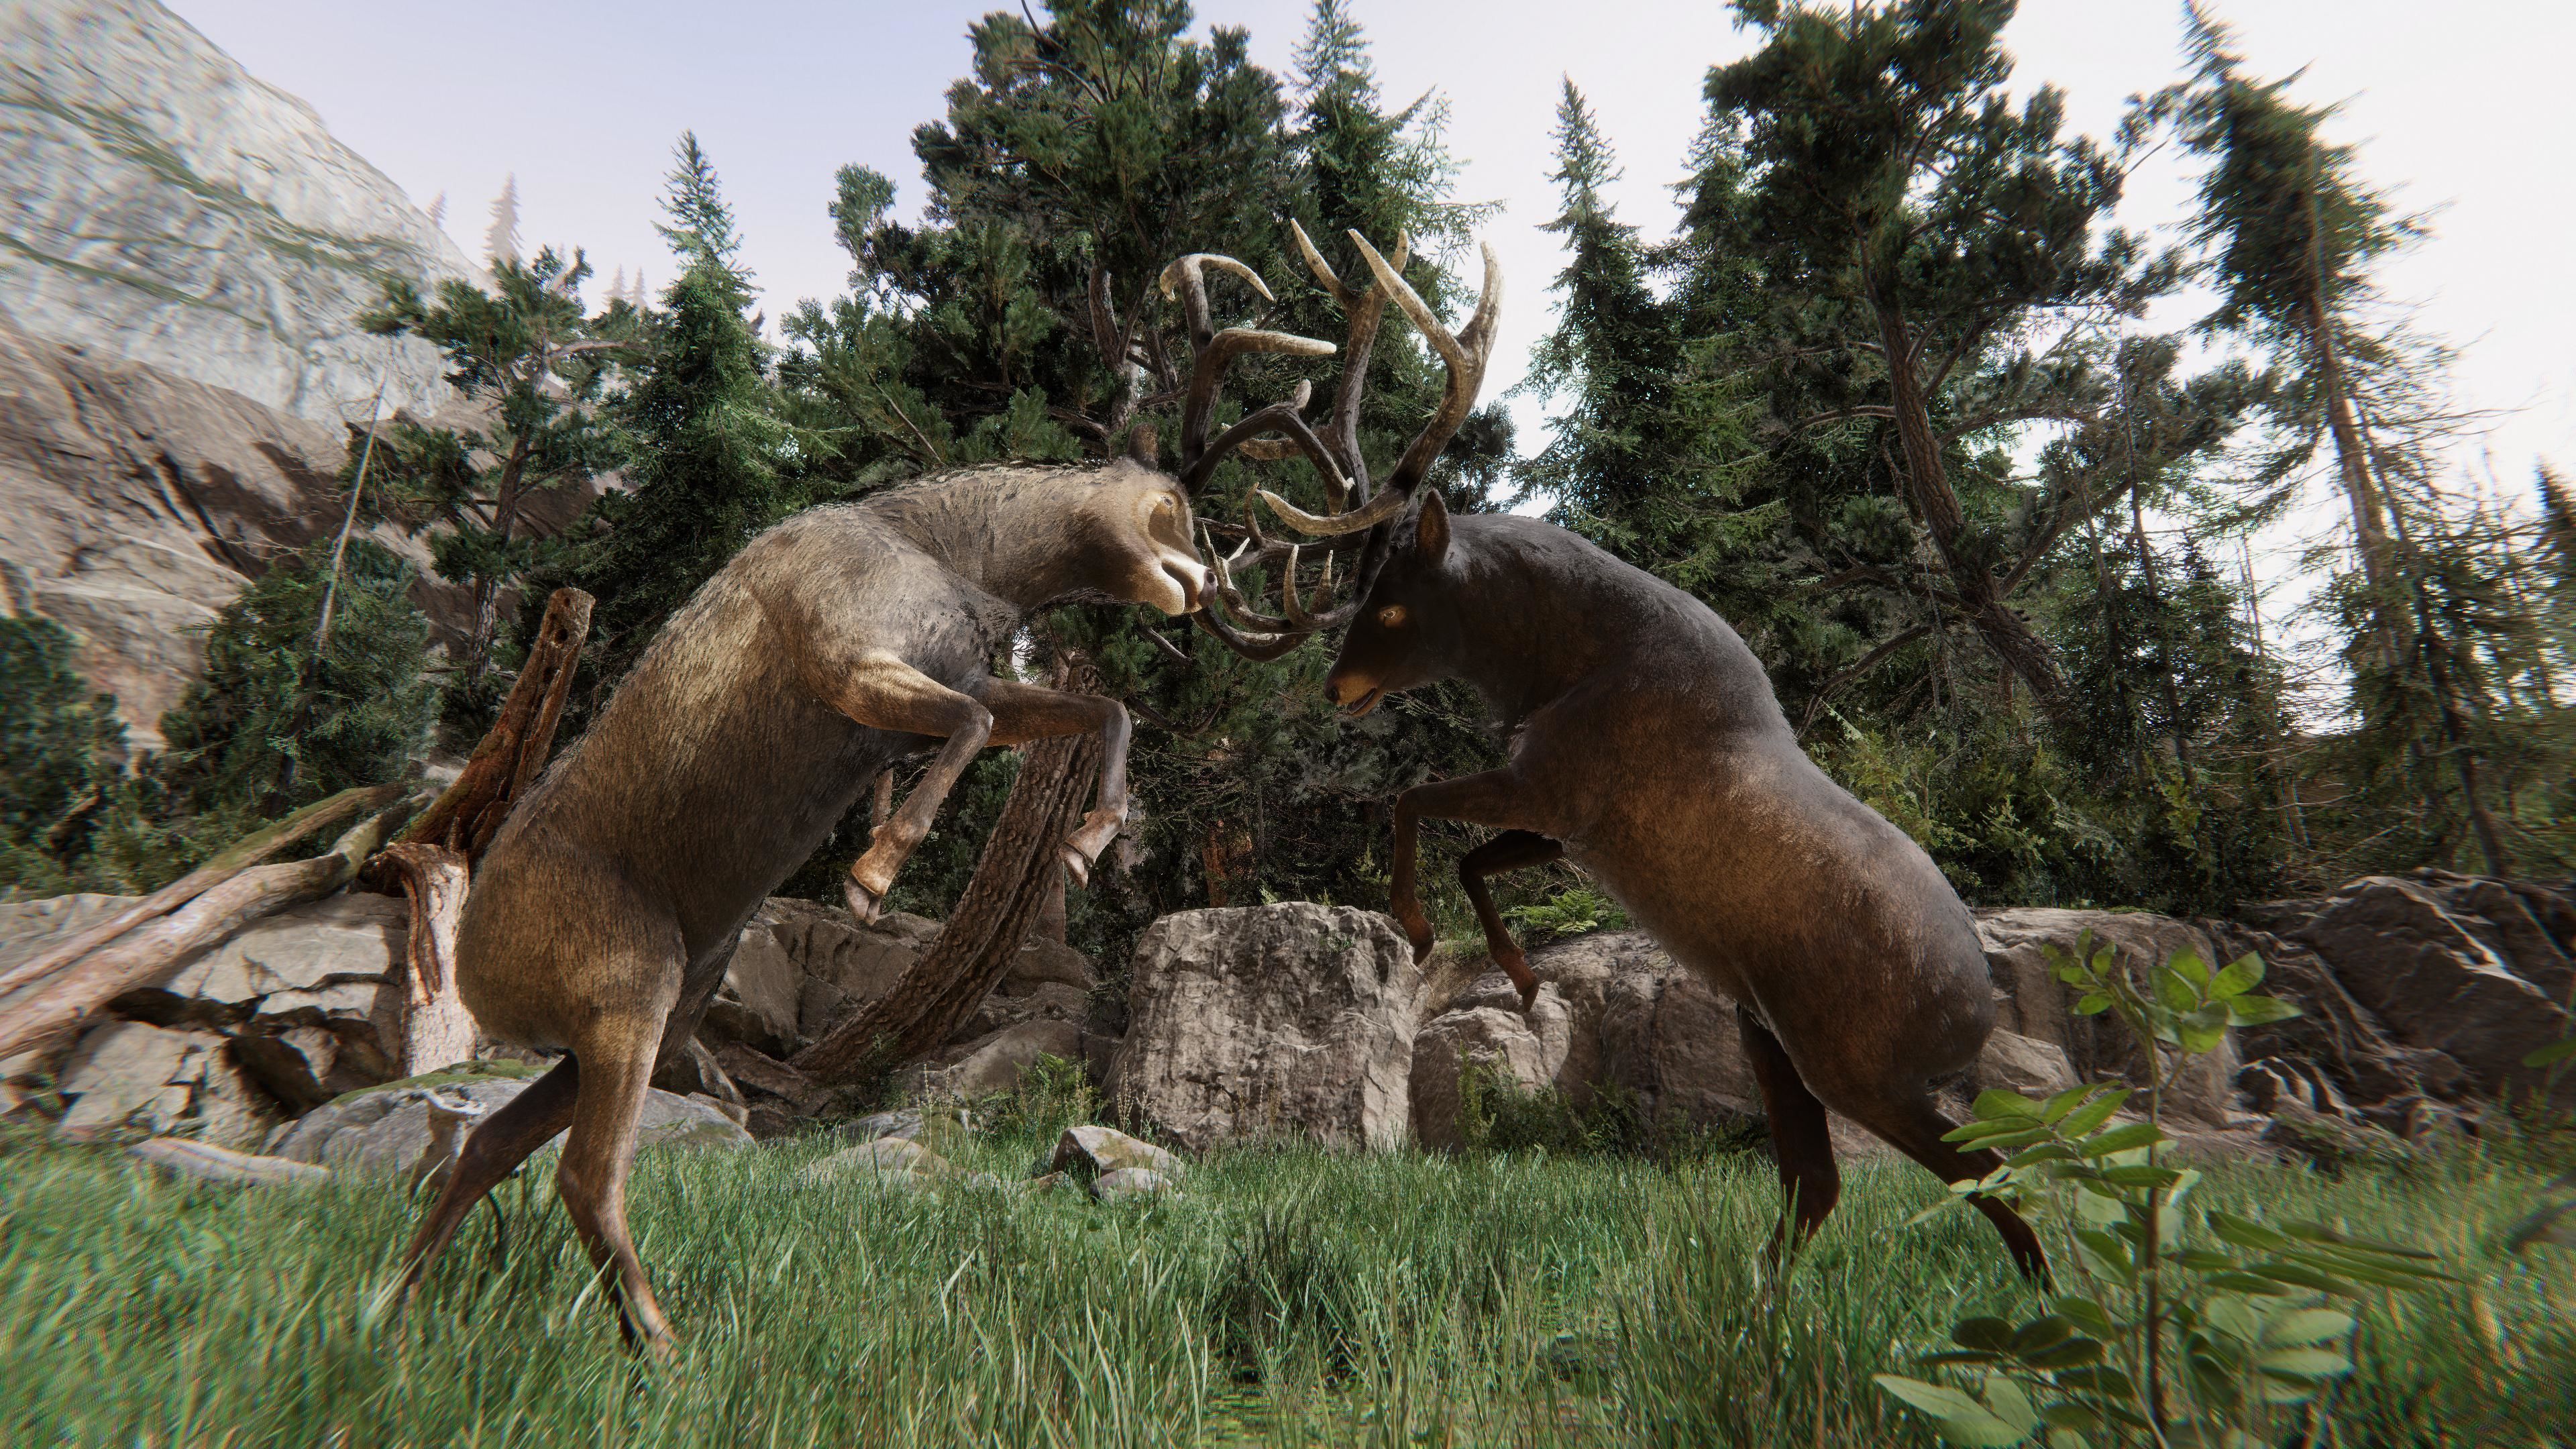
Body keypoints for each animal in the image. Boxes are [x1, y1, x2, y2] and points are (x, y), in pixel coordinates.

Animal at [386, 234, 1426, 1351]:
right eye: (1173, 502)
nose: (1204, 585)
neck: (950, 555)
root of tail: (471, 970)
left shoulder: (969, 677)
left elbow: (1098, 712)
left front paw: (1082, 845)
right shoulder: (846, 658)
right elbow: (970, 730)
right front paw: (873, 876)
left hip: (646, 1013)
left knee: (491, 1142)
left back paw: (394, 1314)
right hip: (625, 986)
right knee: (584, 1173)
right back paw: (663, 1350)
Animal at [1192, 232, 2047, 1280]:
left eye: (1390, 606)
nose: (1334, 688)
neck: (1547, 675)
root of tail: (1977, 1012)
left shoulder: (1556, 785)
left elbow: (1412, 800)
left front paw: (1423, 932)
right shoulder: (1574, 825)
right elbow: (1473, 852)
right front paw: (1522, 980)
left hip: (1858, 1062)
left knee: (1996, 1182)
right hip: (1768, 1030)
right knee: (1819, 1185)